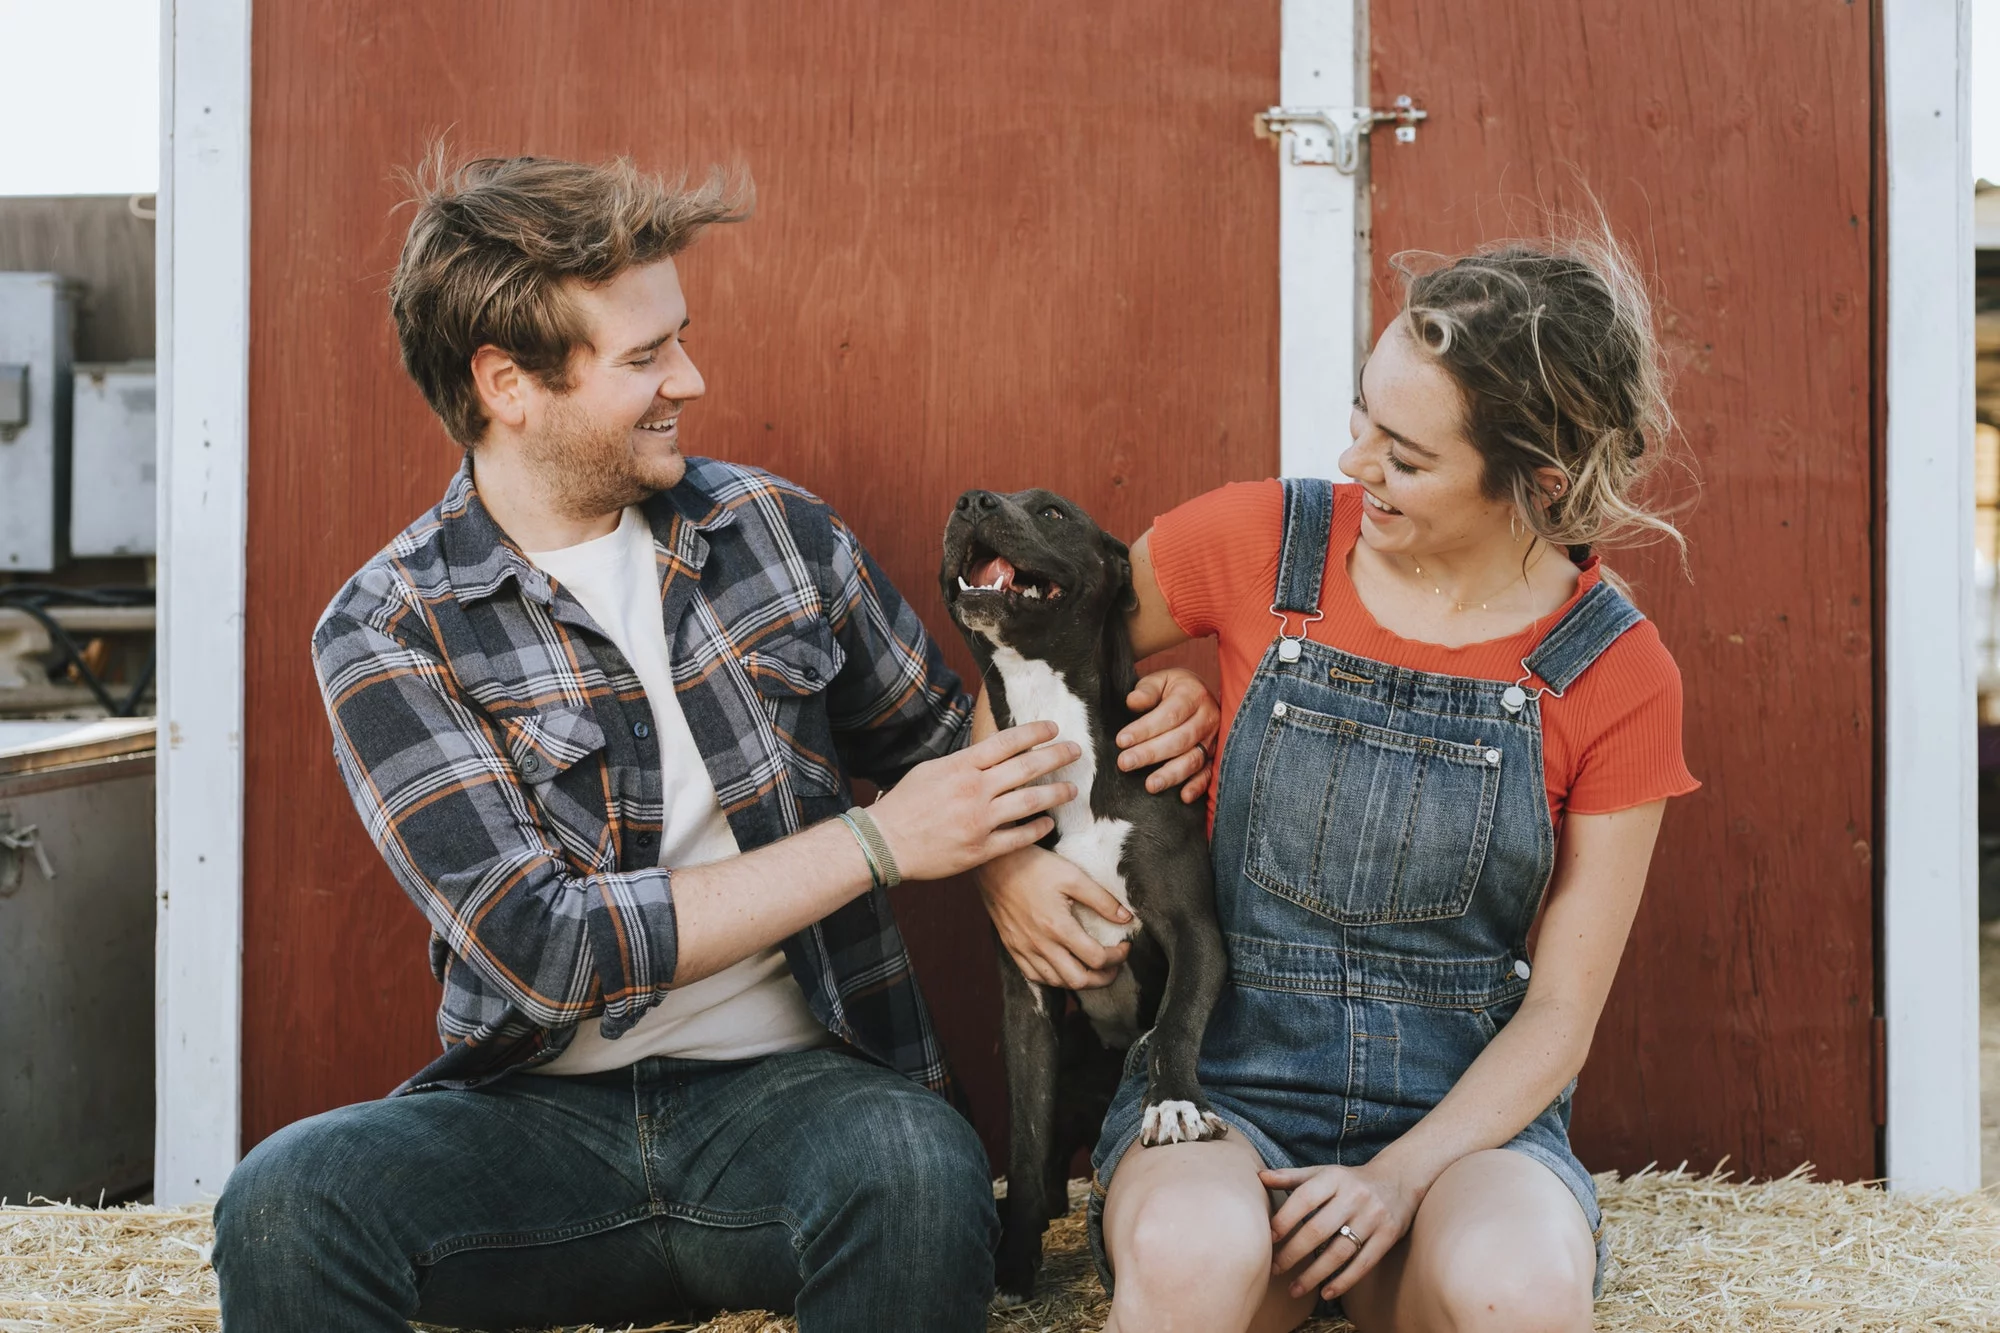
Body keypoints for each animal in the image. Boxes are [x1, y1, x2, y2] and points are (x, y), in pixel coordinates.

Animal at [940, 486, 1232, 1296]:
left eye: (1052, 512)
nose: (970, 499)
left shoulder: (1194, 931)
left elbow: (1175, 1021)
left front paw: (1173, 1104)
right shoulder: (1029, 991)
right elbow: (1024, 1137)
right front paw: (1014, 1262)